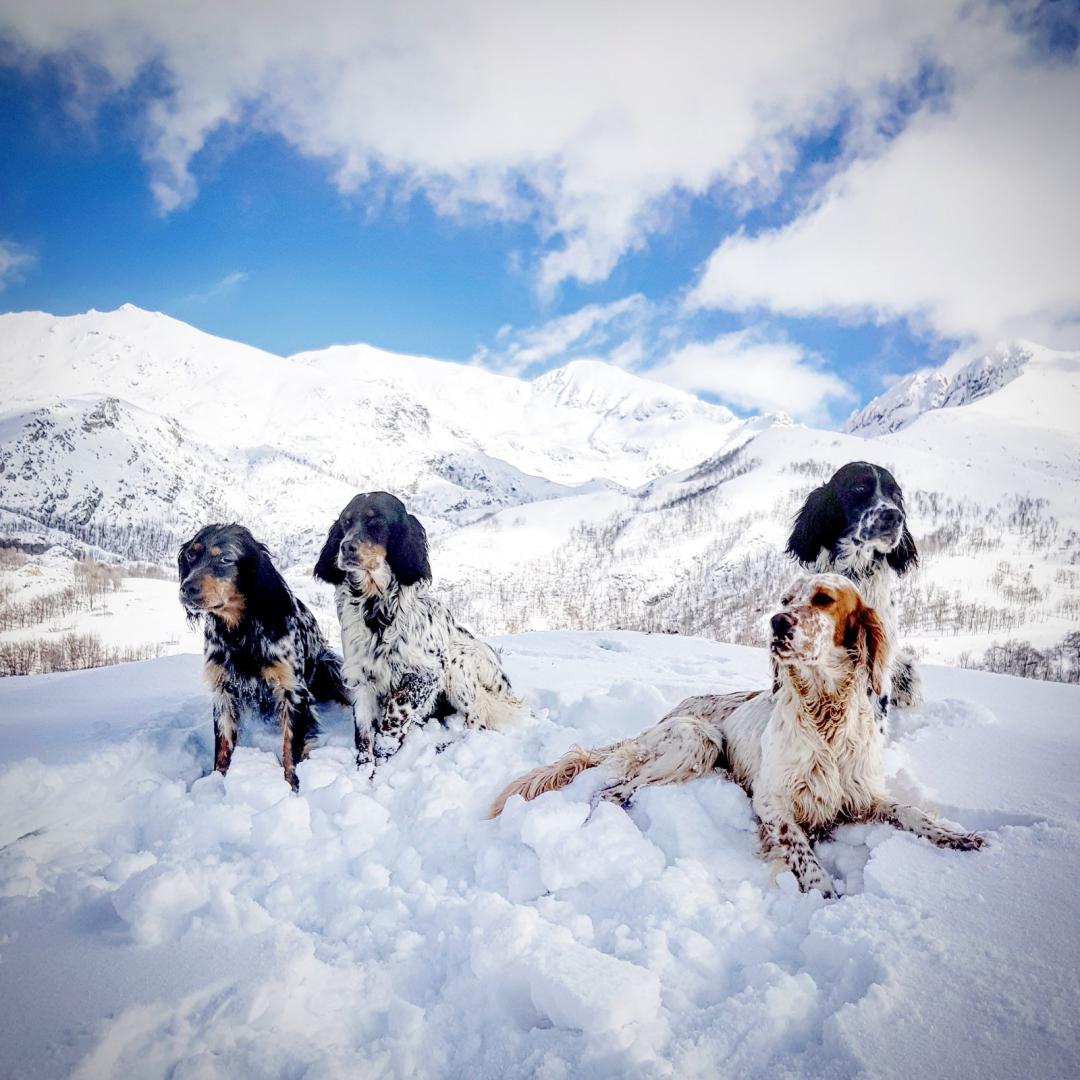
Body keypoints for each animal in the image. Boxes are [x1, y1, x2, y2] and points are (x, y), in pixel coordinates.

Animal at [177, 518, 345, 790]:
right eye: (192, 555)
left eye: (225, 559)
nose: (186, 589)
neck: (241, 631)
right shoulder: (223, 690)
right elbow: (223, 750)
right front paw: (215, 784)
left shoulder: (293, 690)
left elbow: (290, 748)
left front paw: (291, 787)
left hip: (333, 667)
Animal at [311, 490, 524, 768]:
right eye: (346, 522)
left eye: (376, 522)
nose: (345, 547)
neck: (376, 609)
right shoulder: (360, 676)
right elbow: (364, 732)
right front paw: (365, 767)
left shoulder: (429, 671)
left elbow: (398, 708)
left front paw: (388, 746)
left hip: (458, 661)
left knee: (477, 720)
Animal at [494, 578, 984, 898]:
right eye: (785, 599)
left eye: (823, 599)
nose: (777, 623)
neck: (823, 712)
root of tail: (664, 716)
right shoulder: (773, 803)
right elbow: (803, 852)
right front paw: (824, 894)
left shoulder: (862, 795)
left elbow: (909, 811)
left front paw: (956, 837)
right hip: (698, 740)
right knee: (611, 790)